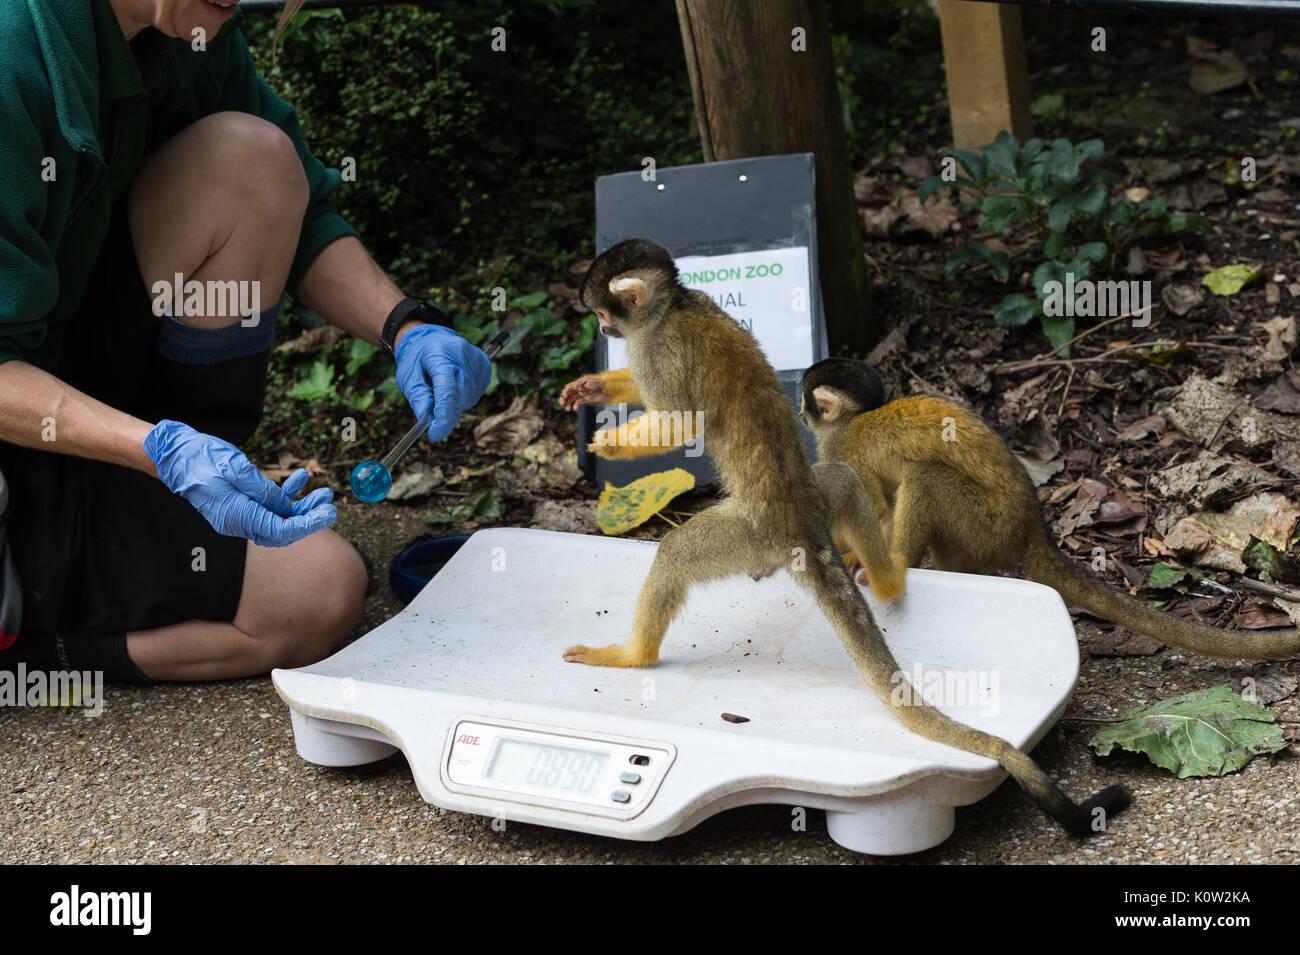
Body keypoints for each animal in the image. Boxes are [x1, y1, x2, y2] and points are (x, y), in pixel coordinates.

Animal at [558, 239, 1129, 838]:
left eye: (601, 313)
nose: (604, 330)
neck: (674, 305)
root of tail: (803, 528)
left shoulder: (658, 346)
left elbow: (676, 421)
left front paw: (609, 446)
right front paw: (594, 387)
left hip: (753, 536)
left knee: (676, 552)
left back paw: (634, 656)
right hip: (821, 500)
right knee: (844, 482)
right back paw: (887, 576)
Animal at [800, 357, 1300, 661]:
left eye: (805, 400)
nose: (800, 412)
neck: (853, 418)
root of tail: (1032, 533)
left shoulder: (842, 446)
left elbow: (875, 503)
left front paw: (852, 553)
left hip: (986, 524)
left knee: (926, 477)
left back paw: (897, 565)